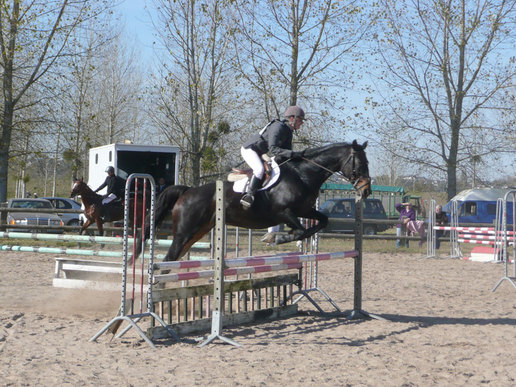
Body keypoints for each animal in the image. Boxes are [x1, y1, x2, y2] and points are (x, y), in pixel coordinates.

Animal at [136, 142, 370, 264]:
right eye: (360, 163)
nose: (366, 190)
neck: (302, 174)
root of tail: (188, 191)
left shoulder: (305, 210)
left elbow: (321, 222)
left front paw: (279, 237)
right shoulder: (284, 212)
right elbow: (300, 230)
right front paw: (276, 237)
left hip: (198, 231)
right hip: (184, 232)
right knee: (168, 259)